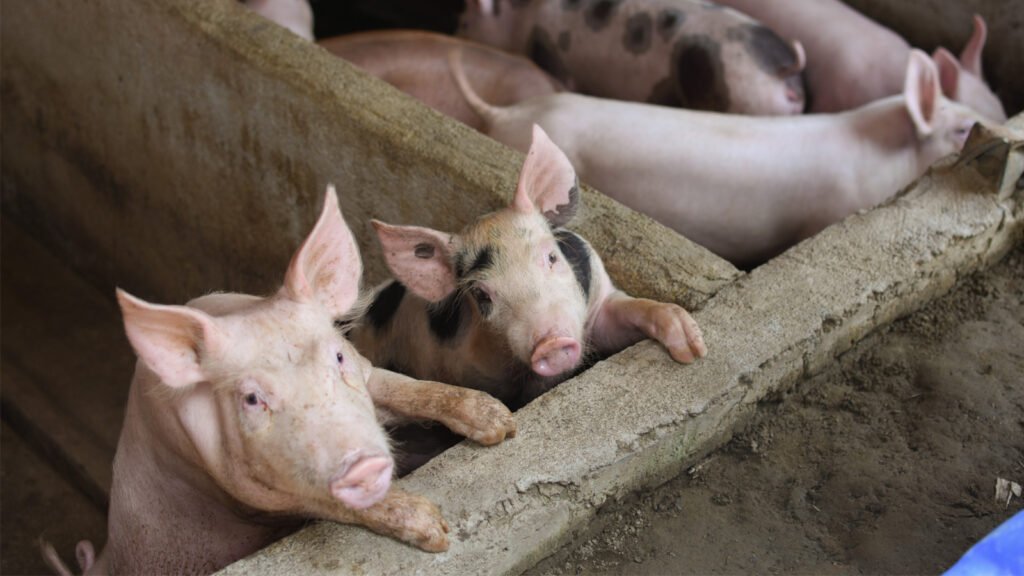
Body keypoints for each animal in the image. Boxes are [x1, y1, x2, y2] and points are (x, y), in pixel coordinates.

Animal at [44, 186, 516, 575]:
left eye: (337, 356)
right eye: (253, 399)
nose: (362, 464)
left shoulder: (367, 373)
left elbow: (408, 388)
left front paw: (501, 424)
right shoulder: (260, 489)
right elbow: (334, 502)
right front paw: (437, 532)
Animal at [348, 125, 707, 413]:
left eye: (551, 258)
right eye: (482, 294)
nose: (551, 343)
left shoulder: (598, 300)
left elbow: (627, 312)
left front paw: (692, 350)